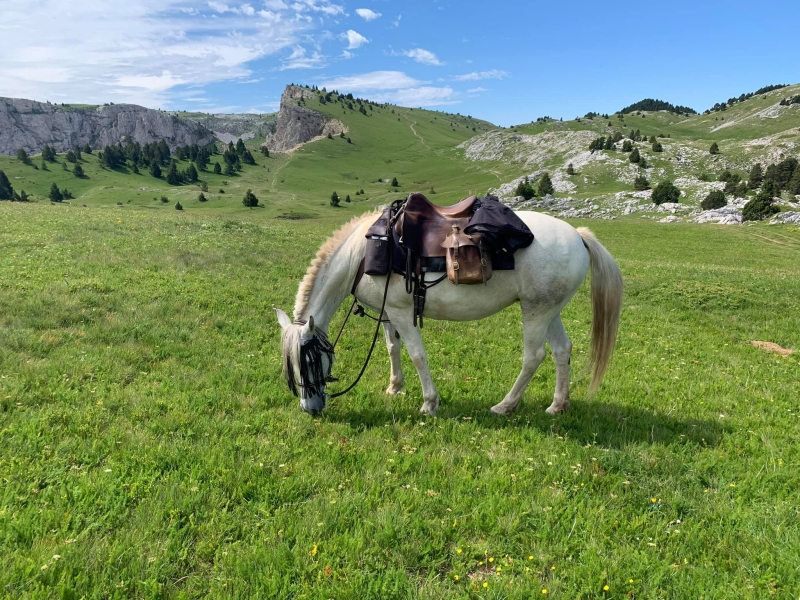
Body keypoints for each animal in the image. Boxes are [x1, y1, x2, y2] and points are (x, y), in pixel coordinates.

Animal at [278, 211, 620, 418]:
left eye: (309, 360)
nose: (310, 408)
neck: (364, 252)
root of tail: (578, 235)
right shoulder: (388, 312)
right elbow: (392, 347)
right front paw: (395, 387)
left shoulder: (401, 312)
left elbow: (417, 355)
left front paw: (429, 403)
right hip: (550, 310)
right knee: (562, 350)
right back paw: (558, 405)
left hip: (536, 311)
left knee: (533, 356)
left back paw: (505, 405)